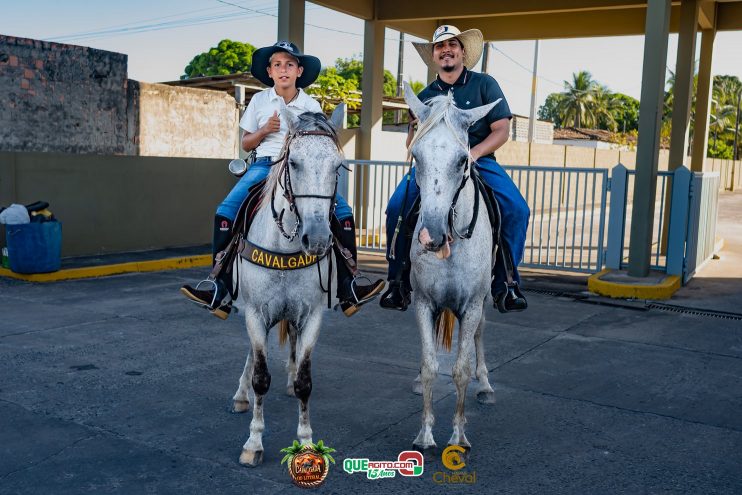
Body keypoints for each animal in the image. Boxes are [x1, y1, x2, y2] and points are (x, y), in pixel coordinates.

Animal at [230, 106, 346, 466]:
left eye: (338, 166)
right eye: (293, 162)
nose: (318, 238)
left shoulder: (312, 316)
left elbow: (306, 382)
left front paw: (306, 442)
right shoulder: (255, 312)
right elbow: (260, 377)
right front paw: (253, 442)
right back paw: (241, 394)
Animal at [404, 82, 502, 454]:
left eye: (462, 160)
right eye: (416, 156)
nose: (430, 236)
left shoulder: (472, 305)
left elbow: (460, 369)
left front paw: (458, 435)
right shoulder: (423, 303)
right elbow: (431, 365)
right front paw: (425, 432)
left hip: (483, 302)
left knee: (479, 334)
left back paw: (485, 384)